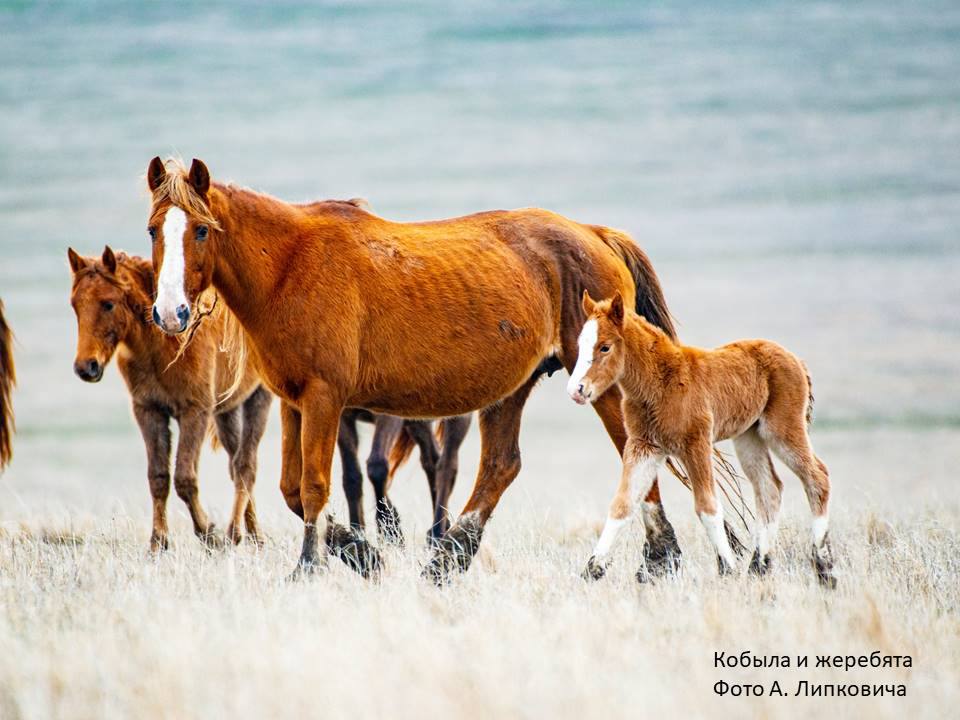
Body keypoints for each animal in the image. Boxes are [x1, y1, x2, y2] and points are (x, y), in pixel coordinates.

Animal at [68, 248, 272, 552]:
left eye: (108, 304)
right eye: (75, 305)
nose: (86, 367)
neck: (163, 344)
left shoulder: (194, 412)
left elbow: (185, 478)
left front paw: (209, 533)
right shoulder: (149, 411)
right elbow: (158, 478)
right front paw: (158, 542)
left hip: (258, 399)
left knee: (246, 465)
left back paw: (237, 533)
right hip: (227, 410)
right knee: (235, 463)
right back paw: (252, 534)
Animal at [342, 408, 472, 544]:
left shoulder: (388, 416)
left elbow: (377, 467)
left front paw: (390, 530)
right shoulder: (344, 418)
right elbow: (351, 477)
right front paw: (356, 535)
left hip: (457, 418)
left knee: (446, 466)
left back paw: (437, 533)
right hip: (418, 423)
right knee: (432, 461)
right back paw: (441, 527)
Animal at [568, 290, 832, 588]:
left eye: (604, 347)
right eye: (580, 345)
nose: (576, 390)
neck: (661, 381)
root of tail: (797, 360)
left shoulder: (696, 443)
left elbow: (707, 506)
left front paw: (727, 569)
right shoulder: (644, 446)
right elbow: (622, 504)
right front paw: (592, 570)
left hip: (782, 429)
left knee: (817, 476)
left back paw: (824, 568)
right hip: (749, 437)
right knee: (770, 489)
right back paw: (759, 568)